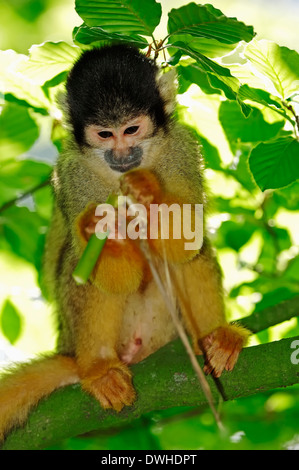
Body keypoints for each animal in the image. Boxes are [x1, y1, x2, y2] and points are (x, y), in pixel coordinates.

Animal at [0, 43, 251, 440]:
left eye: (131, 129)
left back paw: (214, 340)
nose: (122, 155)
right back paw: (98, 368)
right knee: (78, 267)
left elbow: (187, 239)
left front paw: (147, 191)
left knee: (190, 255)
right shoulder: (71, 175)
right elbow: (110, 275)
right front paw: (99, 227)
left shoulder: (183, 149)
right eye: (105, 134)